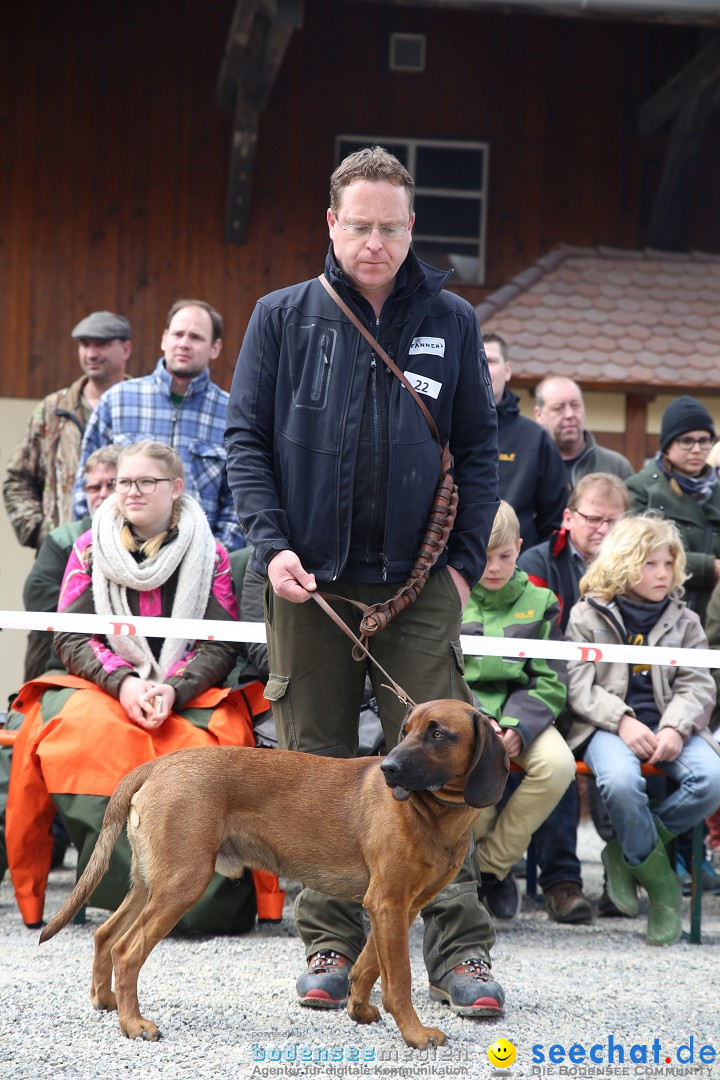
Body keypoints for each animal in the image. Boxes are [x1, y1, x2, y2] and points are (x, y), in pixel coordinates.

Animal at [40, 699, 507, 1045]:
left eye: (437, 733)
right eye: (406, 730)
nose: (388, 768)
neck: (430, 813)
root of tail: (156, 765)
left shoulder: (398, 908)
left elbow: (368, 966)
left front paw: (358, 1008)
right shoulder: (387, 903)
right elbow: (399, 982)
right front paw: (415, 1033)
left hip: (149, 883)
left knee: (106, 935)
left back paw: (106, 1002)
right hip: (179, 885)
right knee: (126, 951)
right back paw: (134, 1024)